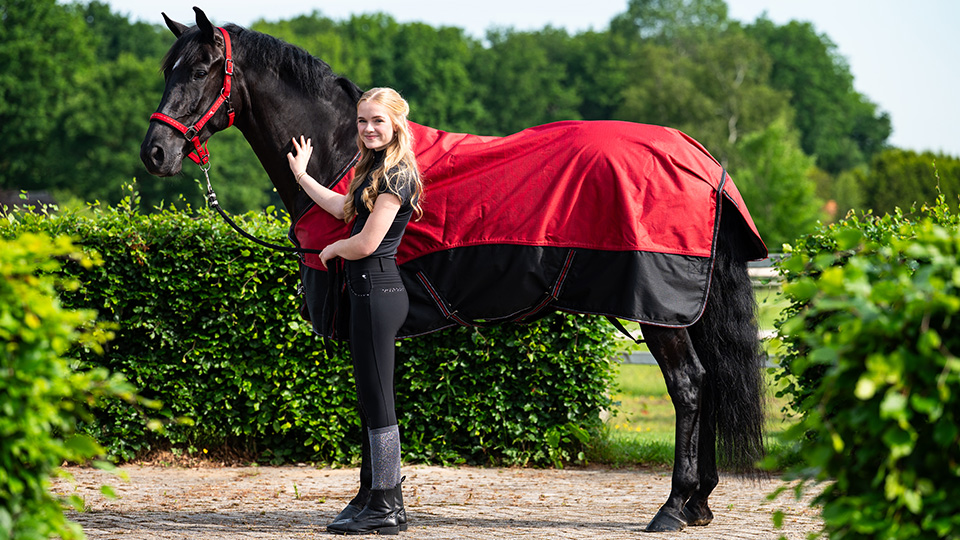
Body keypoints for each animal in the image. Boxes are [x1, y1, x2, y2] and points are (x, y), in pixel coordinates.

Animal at [140, 8, 768, 533]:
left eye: (201, 69)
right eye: (167, 68)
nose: (155, 153)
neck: (348, 160)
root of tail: (700, 157)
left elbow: (372, 403)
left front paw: (372, 507)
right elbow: (375, 402)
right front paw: (368, 504)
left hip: (661, 313)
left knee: (689, 386)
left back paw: (674, 506)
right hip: (685, 312)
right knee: (709, 382)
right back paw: (700, 502)